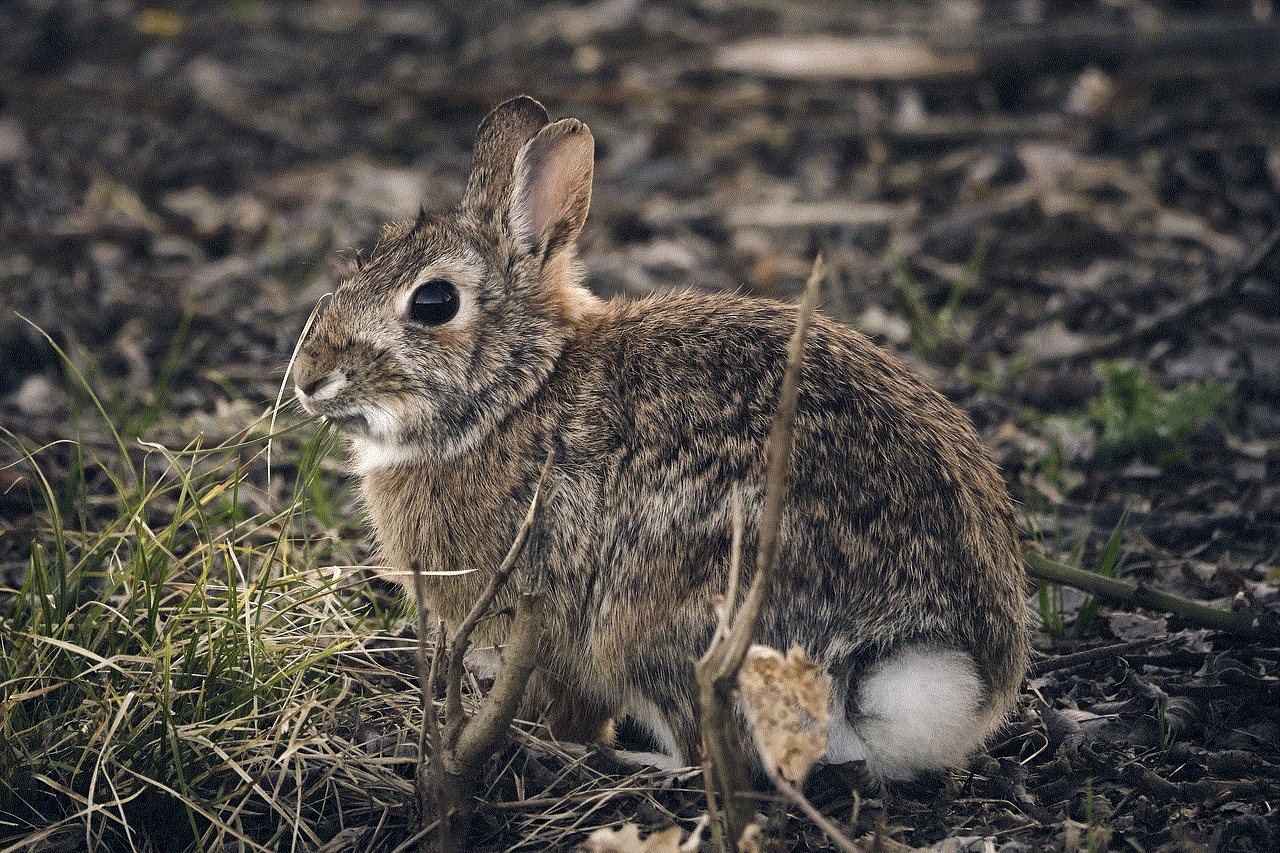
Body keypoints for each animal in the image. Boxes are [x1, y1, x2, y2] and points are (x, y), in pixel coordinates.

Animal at [293, 94, 1029, 778]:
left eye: (434, 302)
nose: (308, 378)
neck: (520, 390)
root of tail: (915, 662)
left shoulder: (545, 627)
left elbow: (565, 701)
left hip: (658, 620)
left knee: (706, 751)